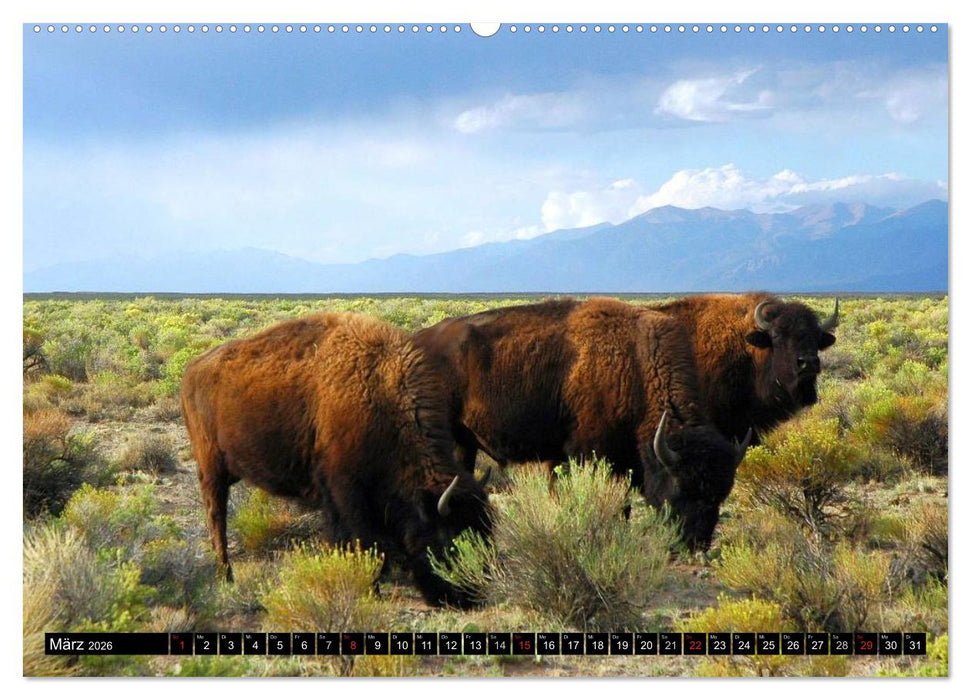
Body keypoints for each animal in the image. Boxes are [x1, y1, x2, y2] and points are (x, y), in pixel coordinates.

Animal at [180, 312, 491, 607]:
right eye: (451, 539)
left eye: (486, 531)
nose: (471, 597)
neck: (379, 390)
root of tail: (192, 370)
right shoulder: (346, 494)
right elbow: (360, 541)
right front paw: (370, 586)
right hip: (211, 471)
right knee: (216, 518)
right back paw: (226, 575)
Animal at [413, 297, 749, 550]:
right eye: (680, 485)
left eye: (722, 493)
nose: (694, 543)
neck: (635, 363)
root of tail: (419, 341)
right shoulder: (593, 454)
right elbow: (615, 503)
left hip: (463, 442)